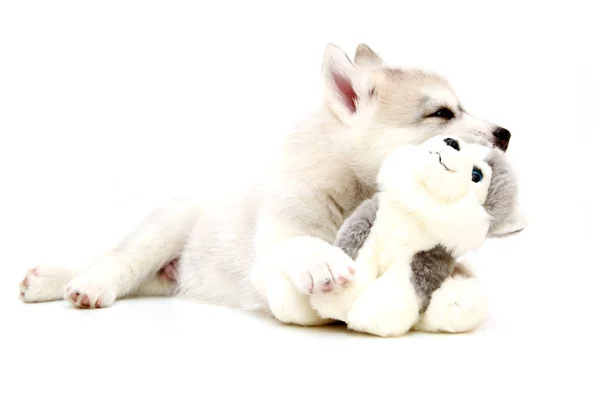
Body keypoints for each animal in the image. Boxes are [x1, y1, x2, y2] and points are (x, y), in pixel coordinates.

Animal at [18, 43, 524, 326]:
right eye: (442, 114)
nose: (505, 133)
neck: (351, 192)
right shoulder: (269, 254)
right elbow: (295, 247)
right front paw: (321, 261)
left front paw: (457, 301)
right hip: (169, 223)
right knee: (118, 258)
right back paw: (85, 285)